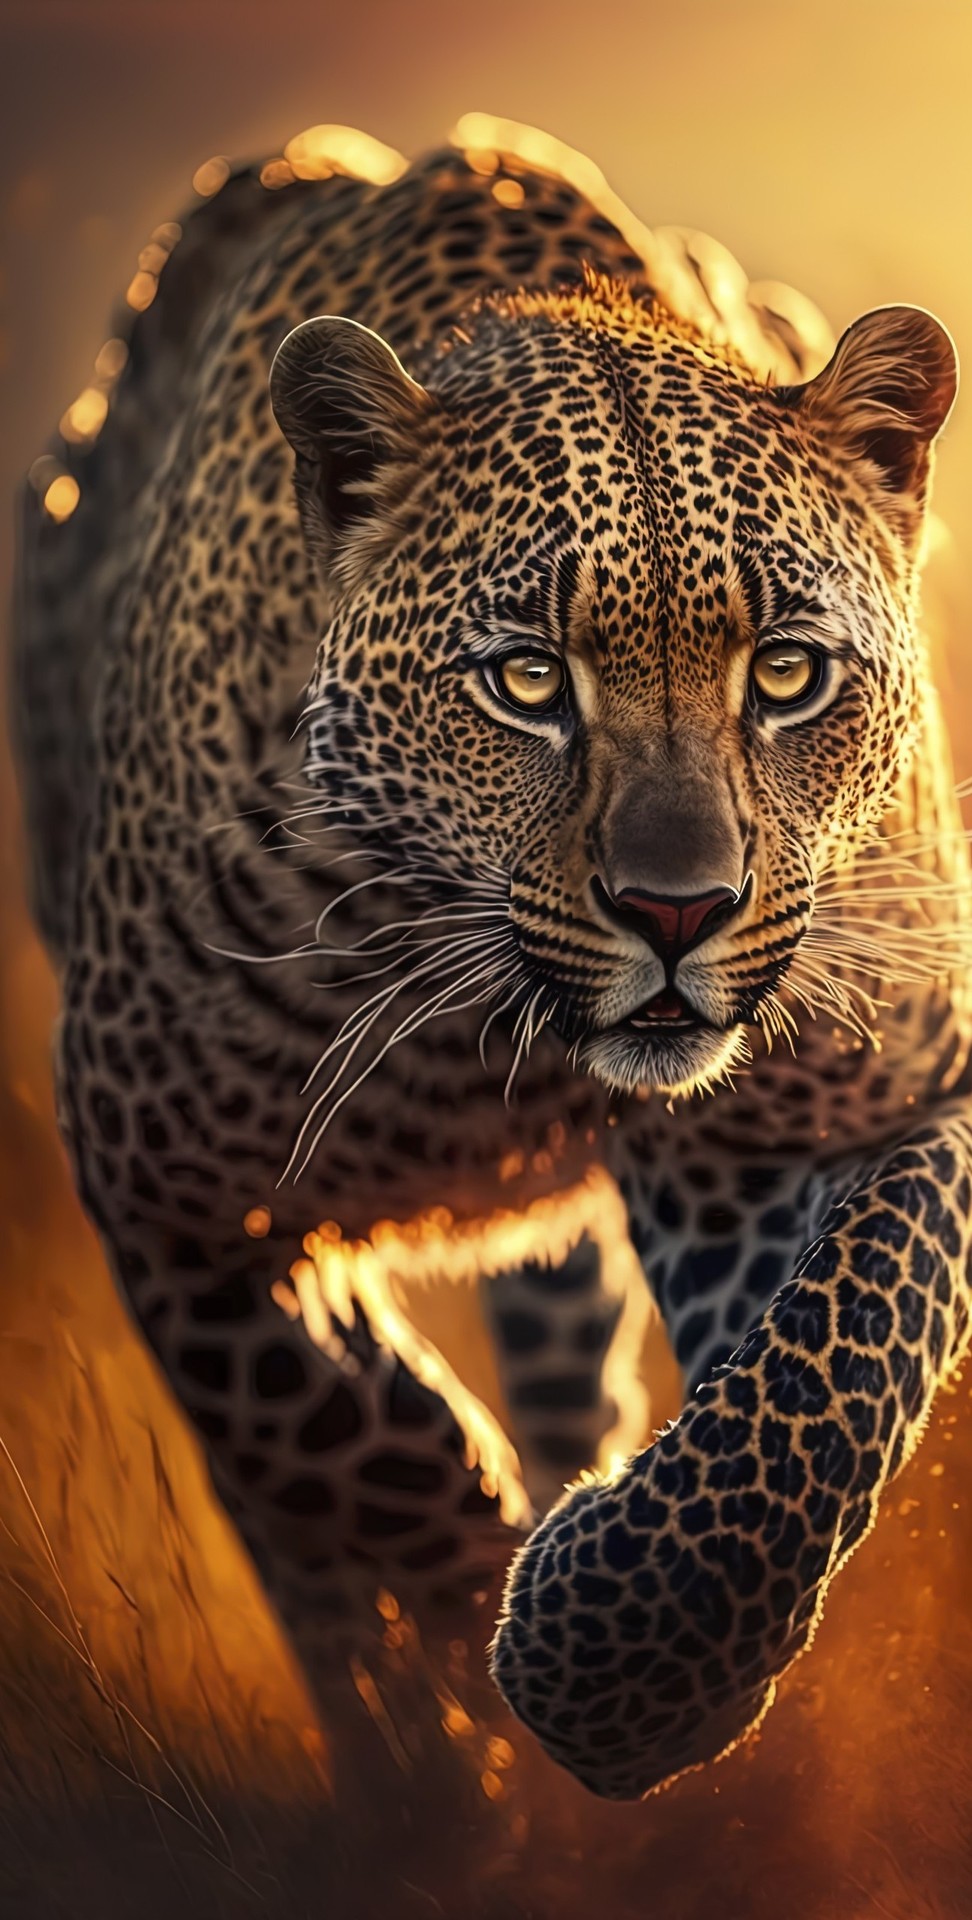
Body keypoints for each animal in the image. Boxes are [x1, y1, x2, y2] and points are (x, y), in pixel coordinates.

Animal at [12, 115, 972, 1802]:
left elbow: (845, 1352)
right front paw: (473, 1617)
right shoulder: (165, 1195)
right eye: (526, 681)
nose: (678, 910)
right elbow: (335, 1437)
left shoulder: (840, 1114)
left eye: (788, 674)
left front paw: (630, 1657)